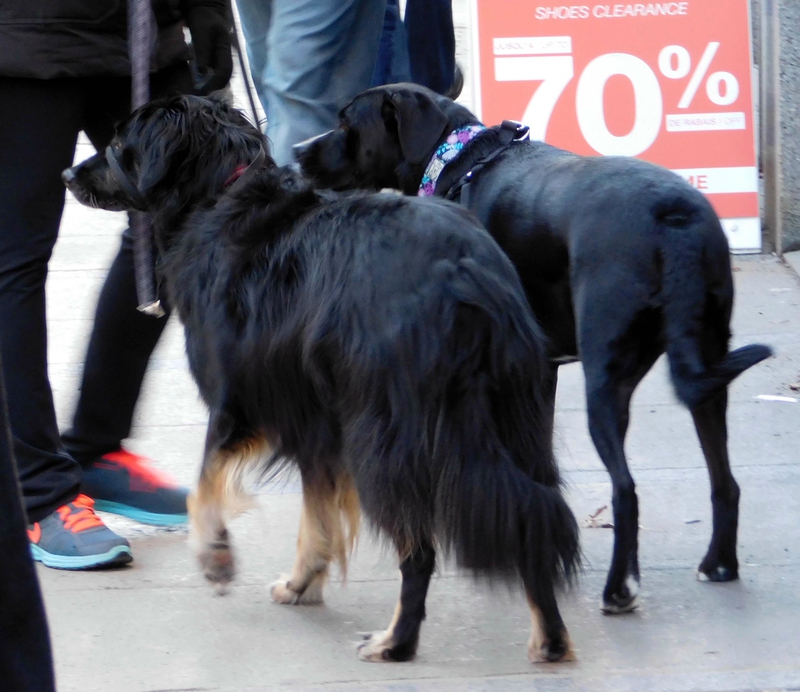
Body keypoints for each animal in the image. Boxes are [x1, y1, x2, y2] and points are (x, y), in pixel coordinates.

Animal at [59, 97, 580, 664]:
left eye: (116, 143)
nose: (67, 174)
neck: (220, 192)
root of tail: (467, 273)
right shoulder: (317, 423)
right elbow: (318, 515)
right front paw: (301, 582)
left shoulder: (238, 401)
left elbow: (206, 482)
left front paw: (216, 556)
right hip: (516, 420)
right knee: (534, 514)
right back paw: (550, 636)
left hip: (386, 438)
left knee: (421, 550)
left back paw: (397, 641)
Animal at [296, 84, 776, 612]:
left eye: (346, 122)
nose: (297, 151)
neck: (456, 158)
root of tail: (672, 216)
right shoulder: (539, 370)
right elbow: (539, 463)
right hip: (708, 369)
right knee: (724, 481)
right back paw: (719, 564)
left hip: (606, 381)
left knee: (626, 490)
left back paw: (619, 589)